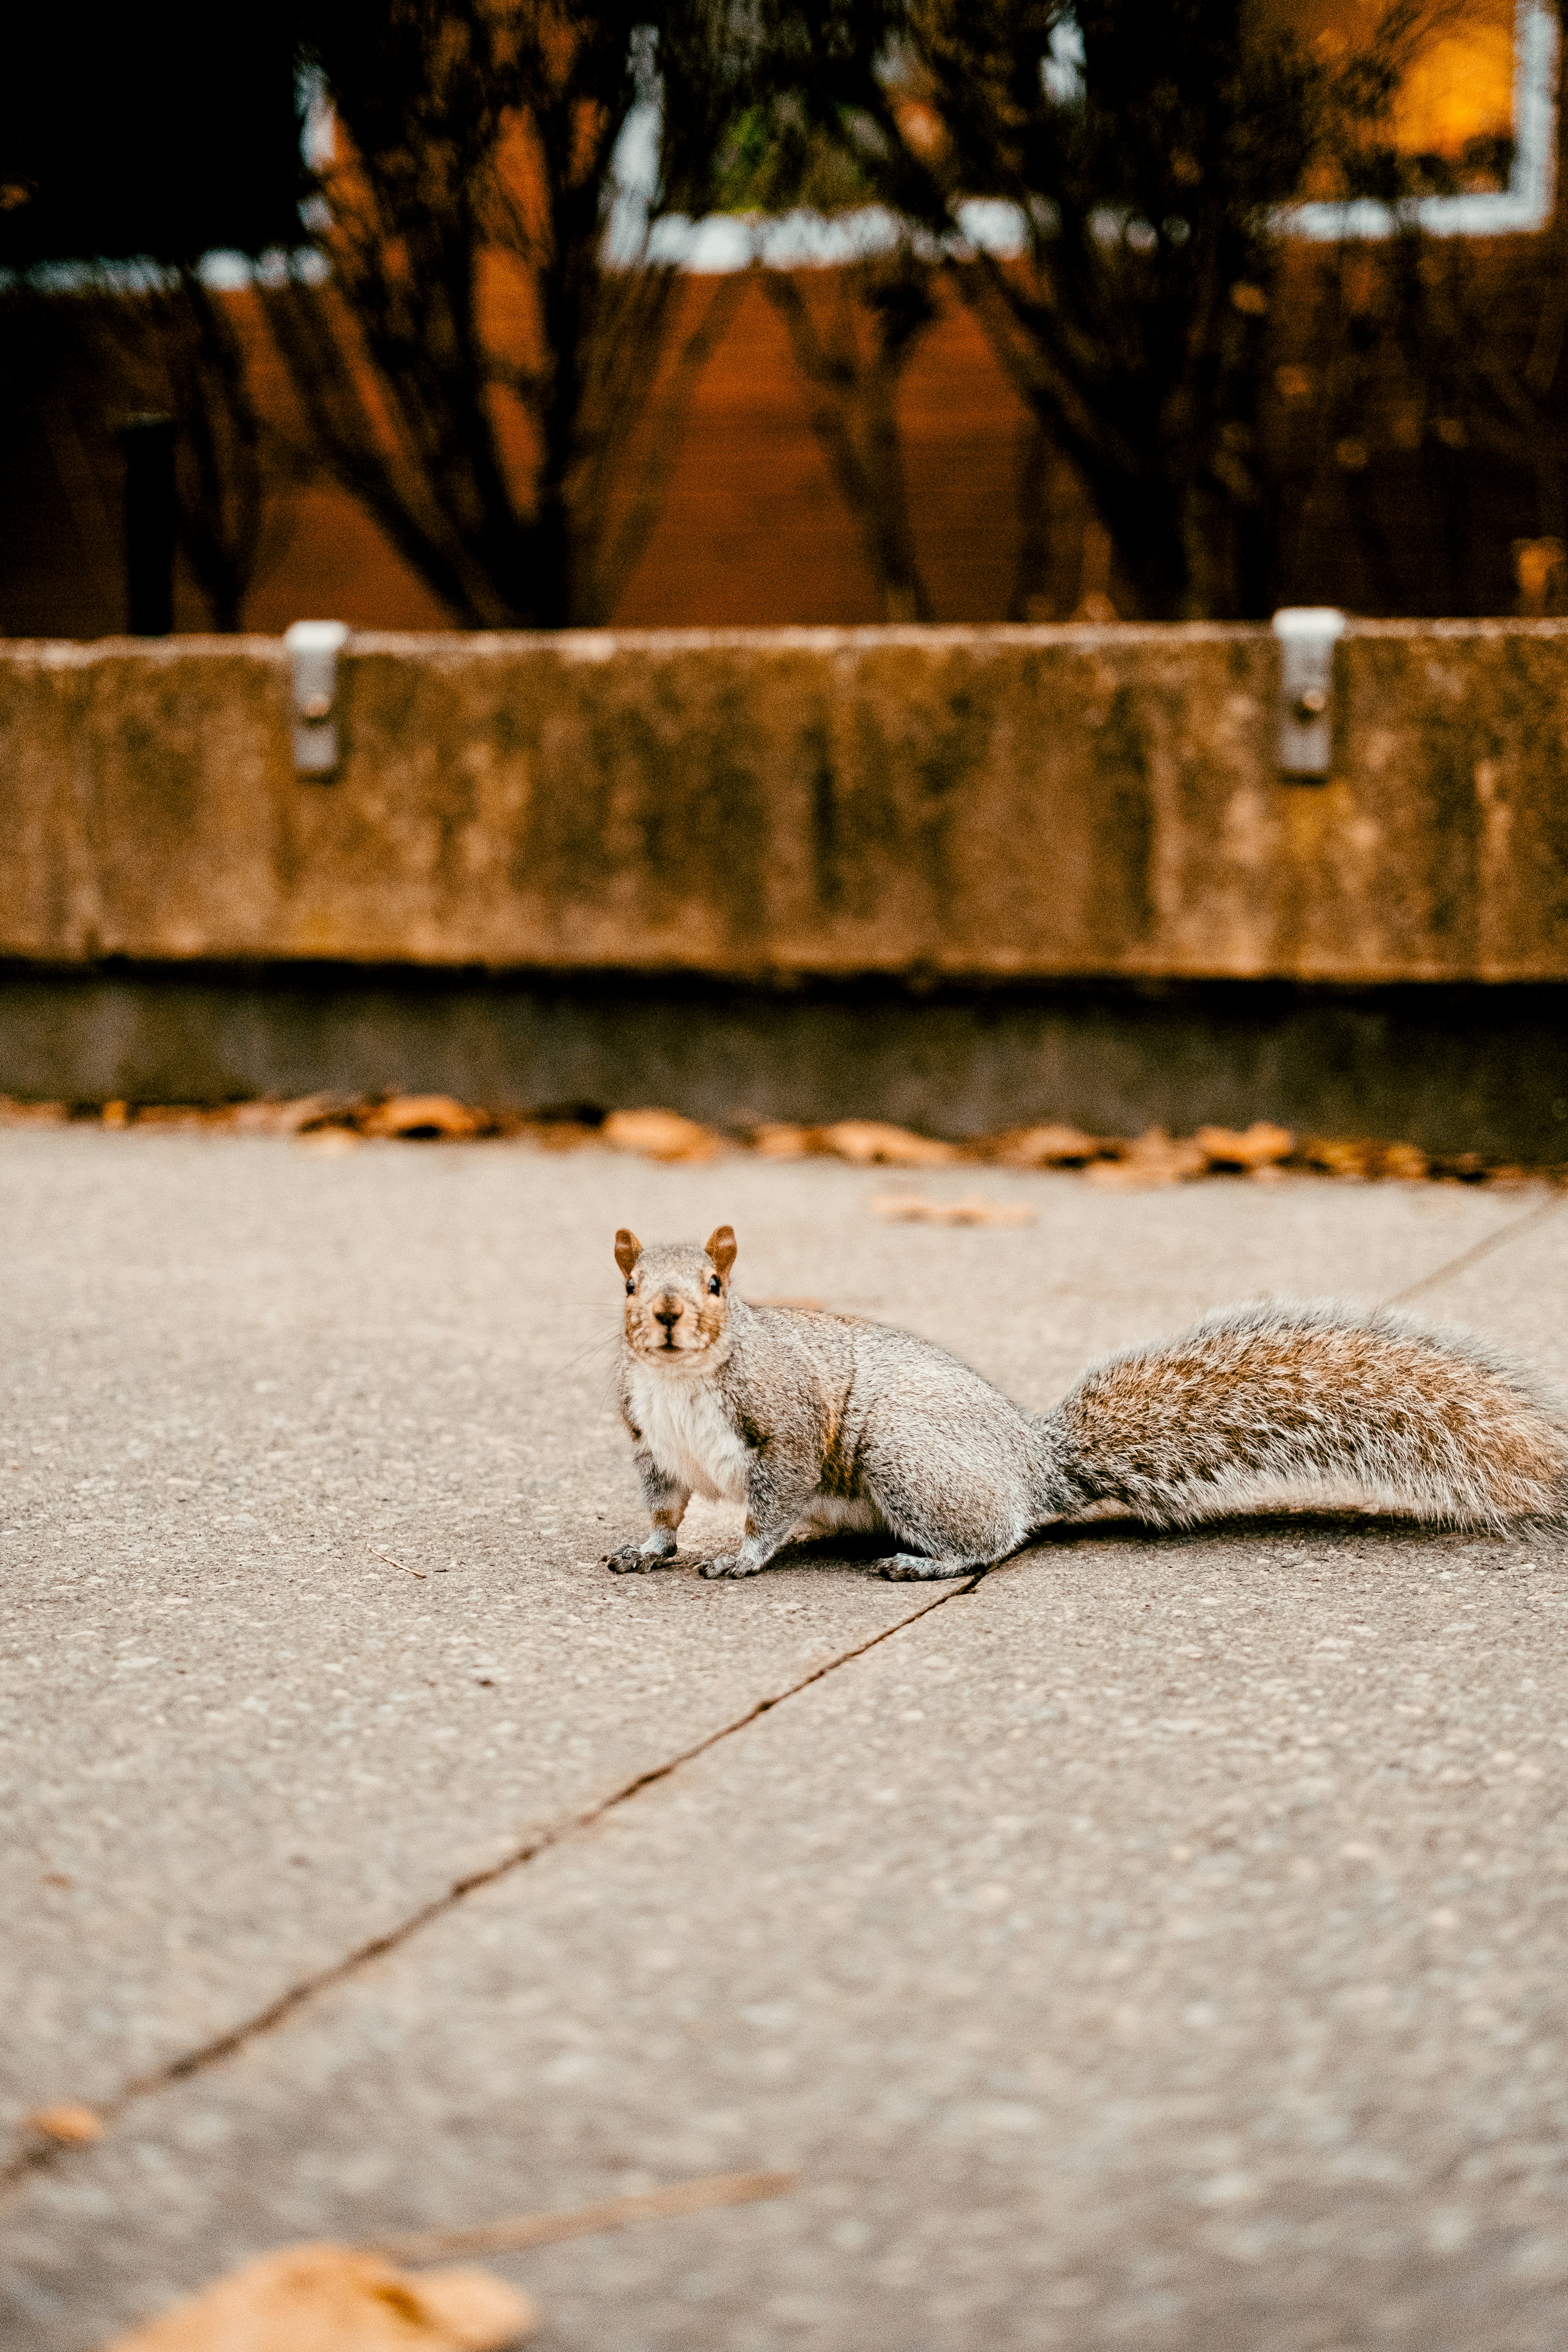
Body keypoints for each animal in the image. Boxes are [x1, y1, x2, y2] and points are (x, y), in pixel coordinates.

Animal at [603, 1224, 1568, 1581]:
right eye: (628, 1284)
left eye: (717, 1285)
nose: (666, 1316)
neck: (682, 1380)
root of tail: (1032, 1465)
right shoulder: (650, 1443)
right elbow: (664, 1507)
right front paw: (646, 1549)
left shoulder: (787, 1426)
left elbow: (772, 1502)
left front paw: (741, 1558)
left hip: (906, 1456)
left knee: (991, 1540)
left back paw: (925, 1563)